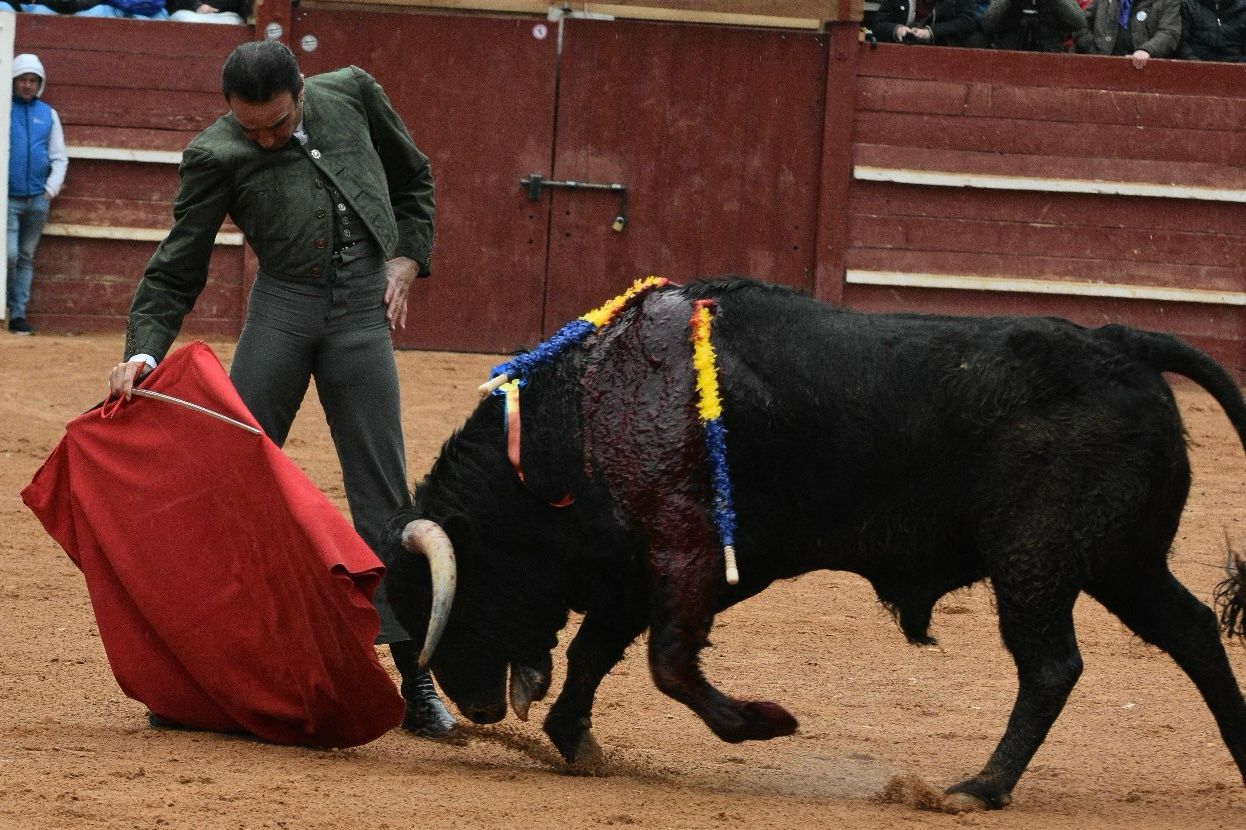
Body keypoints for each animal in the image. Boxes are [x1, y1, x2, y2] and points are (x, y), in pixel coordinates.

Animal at [386, 276, 1246, 802]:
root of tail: (1123, 341)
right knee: (1194, 632)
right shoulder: (637, 570)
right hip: (1123, 562)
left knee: (1052, 666)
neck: (587, 414)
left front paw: (765, 722)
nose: (475, 710)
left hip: (1034, 563)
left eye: (453, 601)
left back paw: (979, 787)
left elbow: (666, 662)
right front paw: (576, 740)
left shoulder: (690, 557)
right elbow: (599, 651)